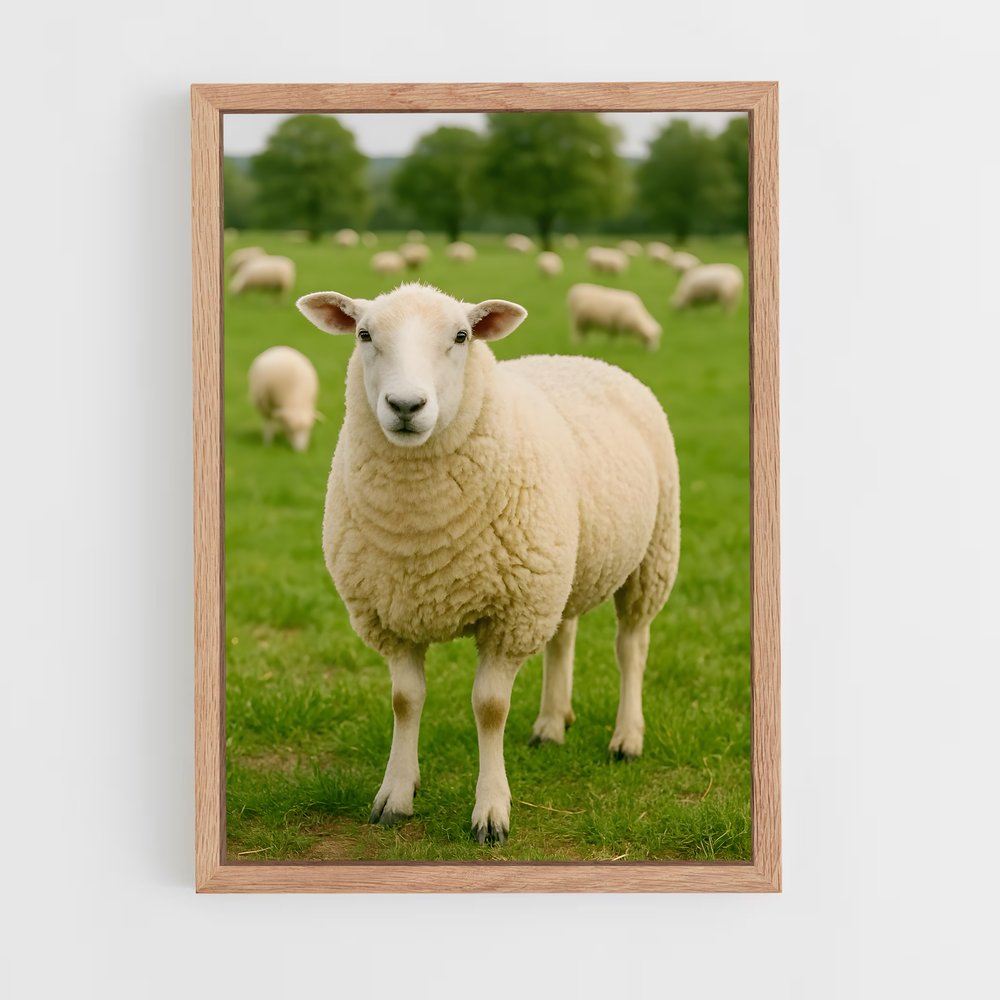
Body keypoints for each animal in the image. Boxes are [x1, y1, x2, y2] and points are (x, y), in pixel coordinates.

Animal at [296, 282, 680, 844]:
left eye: (462, 336)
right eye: (364, 334)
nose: (406, 405)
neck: (421, 532)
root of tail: (580, 358)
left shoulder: (510, 616)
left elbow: (490, 708)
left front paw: (491, 812)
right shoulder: (391, 614)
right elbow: (405, 700)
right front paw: (396, 794)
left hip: (651, 553)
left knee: (631, 645)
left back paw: (626, 737)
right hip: (556, 569)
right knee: (563, 637)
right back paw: (551, 724)